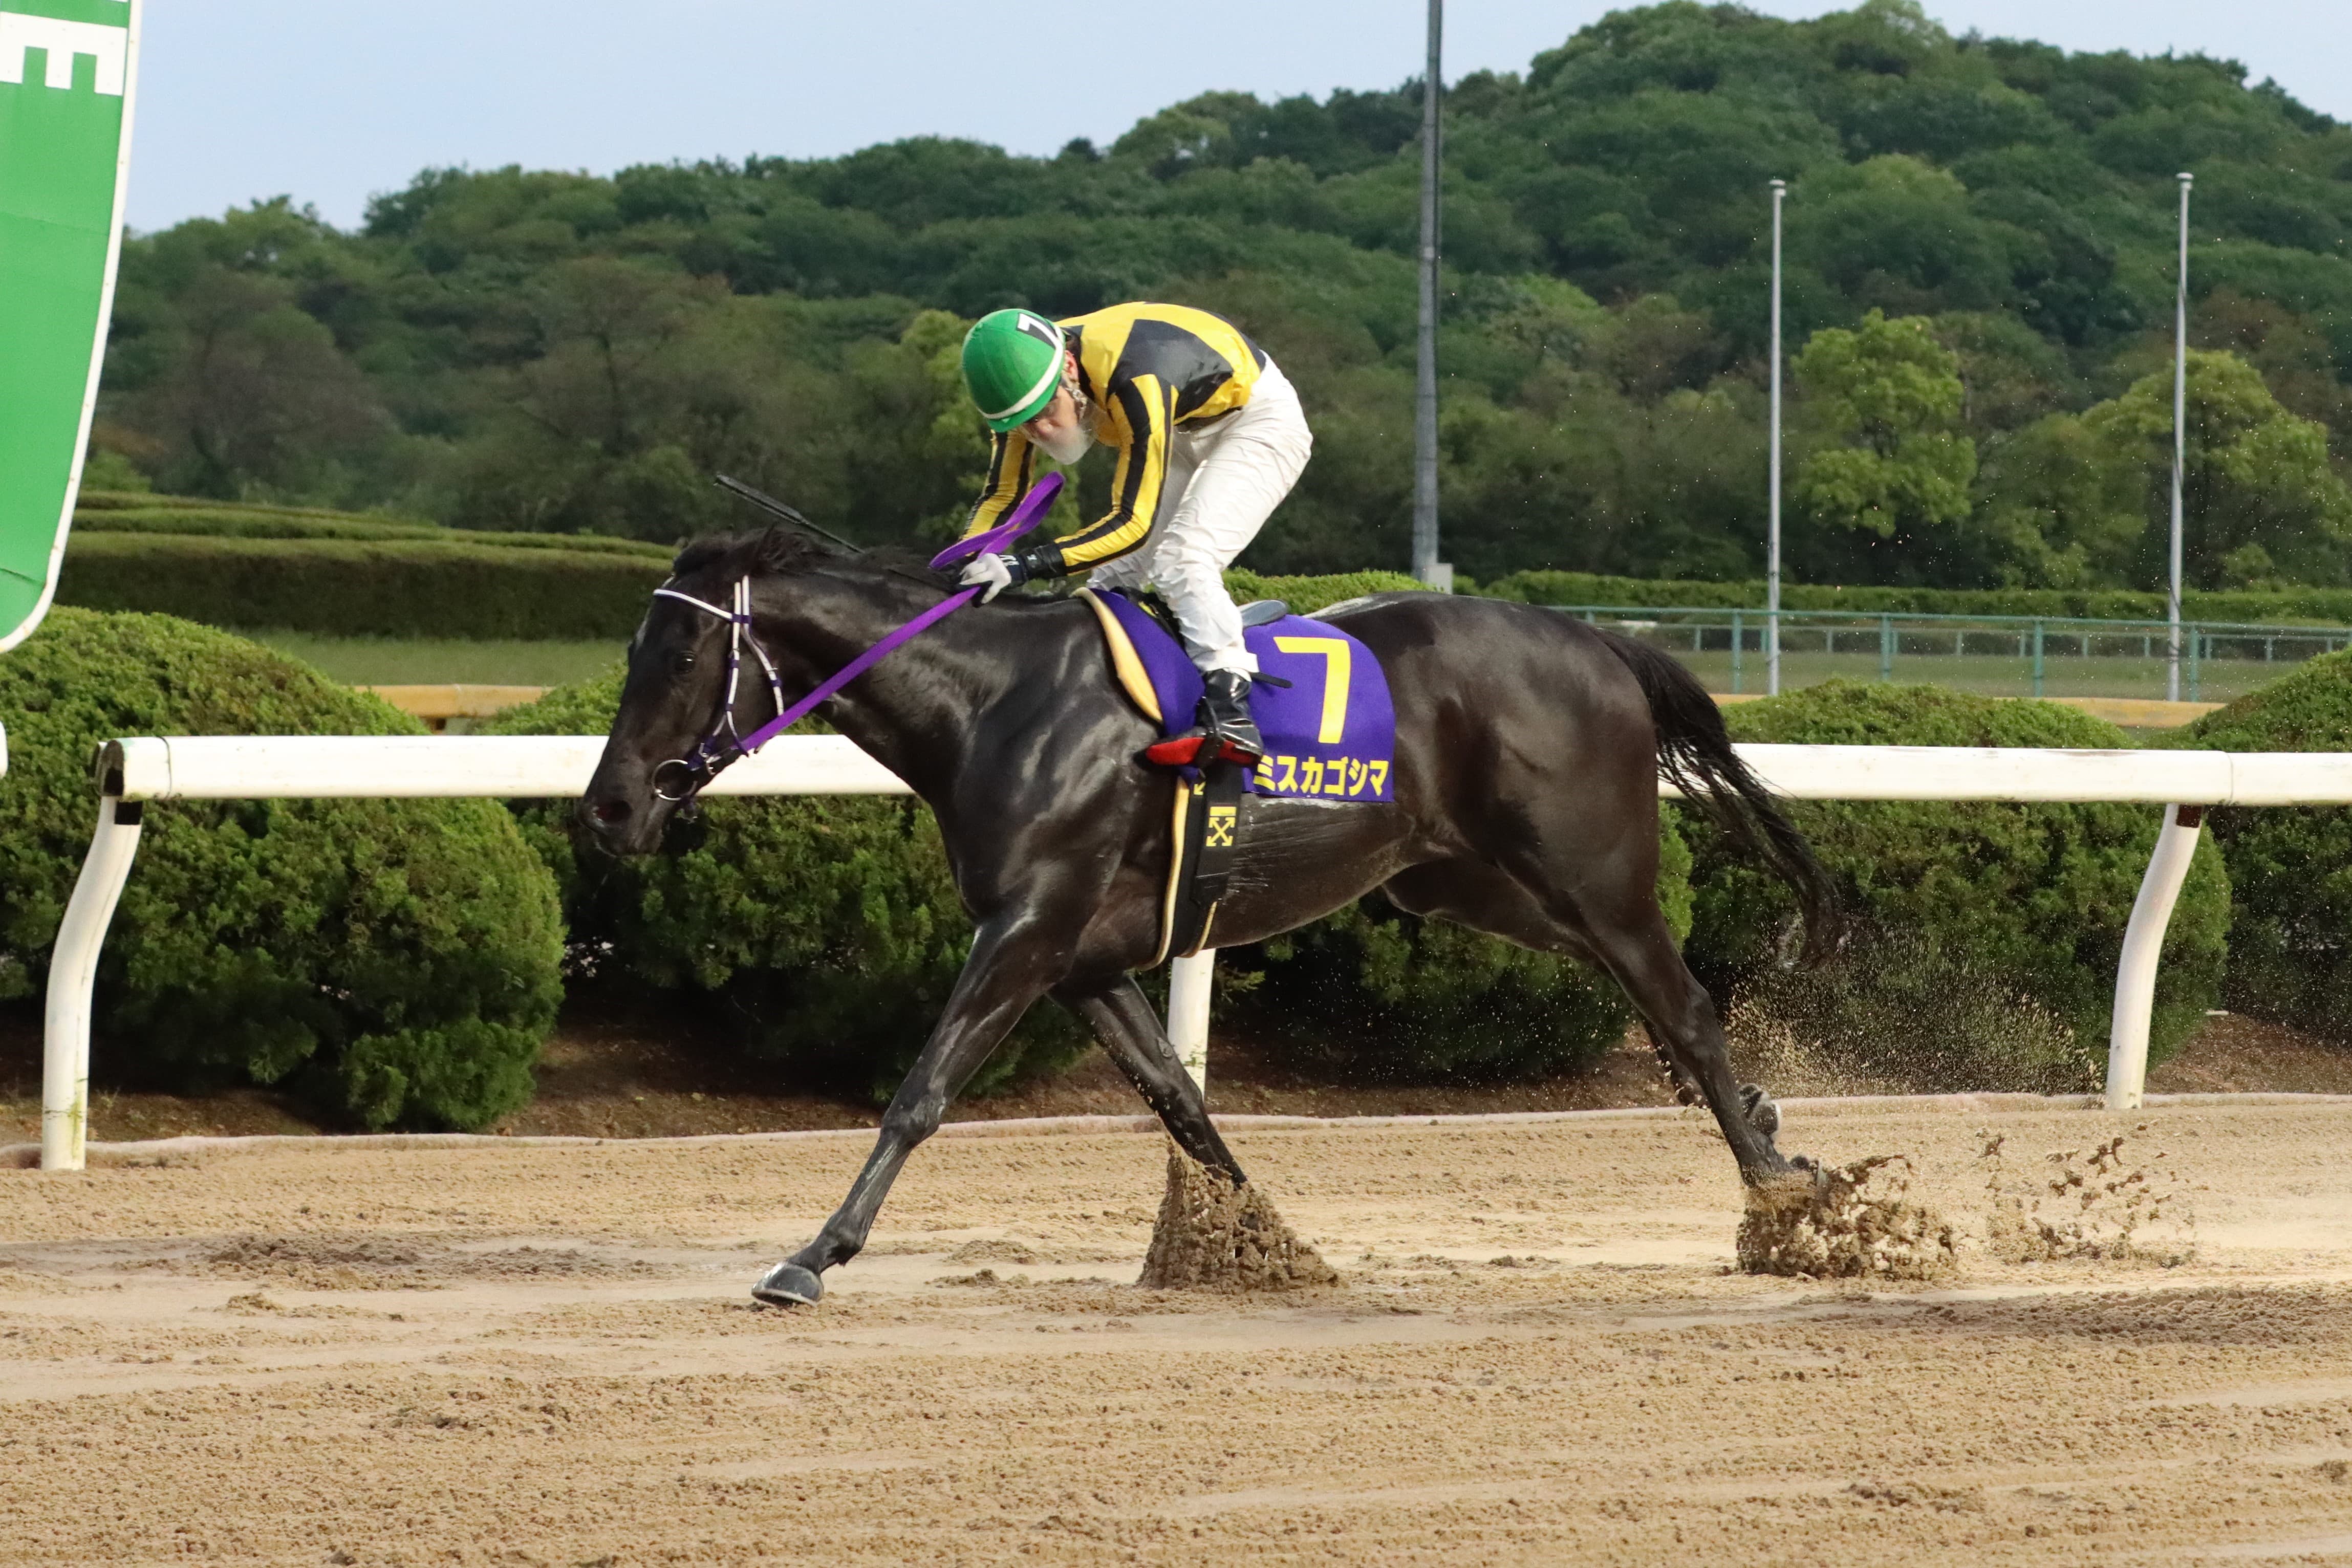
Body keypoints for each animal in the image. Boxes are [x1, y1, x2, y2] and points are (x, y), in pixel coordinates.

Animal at [579, 528, 1840, 1306]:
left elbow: (922, 1090)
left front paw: (812, 1255)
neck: (993, 702)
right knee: (1652, 994)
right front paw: (1266, 1243)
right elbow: (1180, 1102)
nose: (609, 809)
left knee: (1681, 1001)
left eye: (682, 652)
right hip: (1462, 881)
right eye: (634, 646)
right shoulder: (1082, 958)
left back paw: (1781, 1191)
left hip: (1588, 871)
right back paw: (1769, 1124)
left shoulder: (1028, 928)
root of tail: (1602, 641)